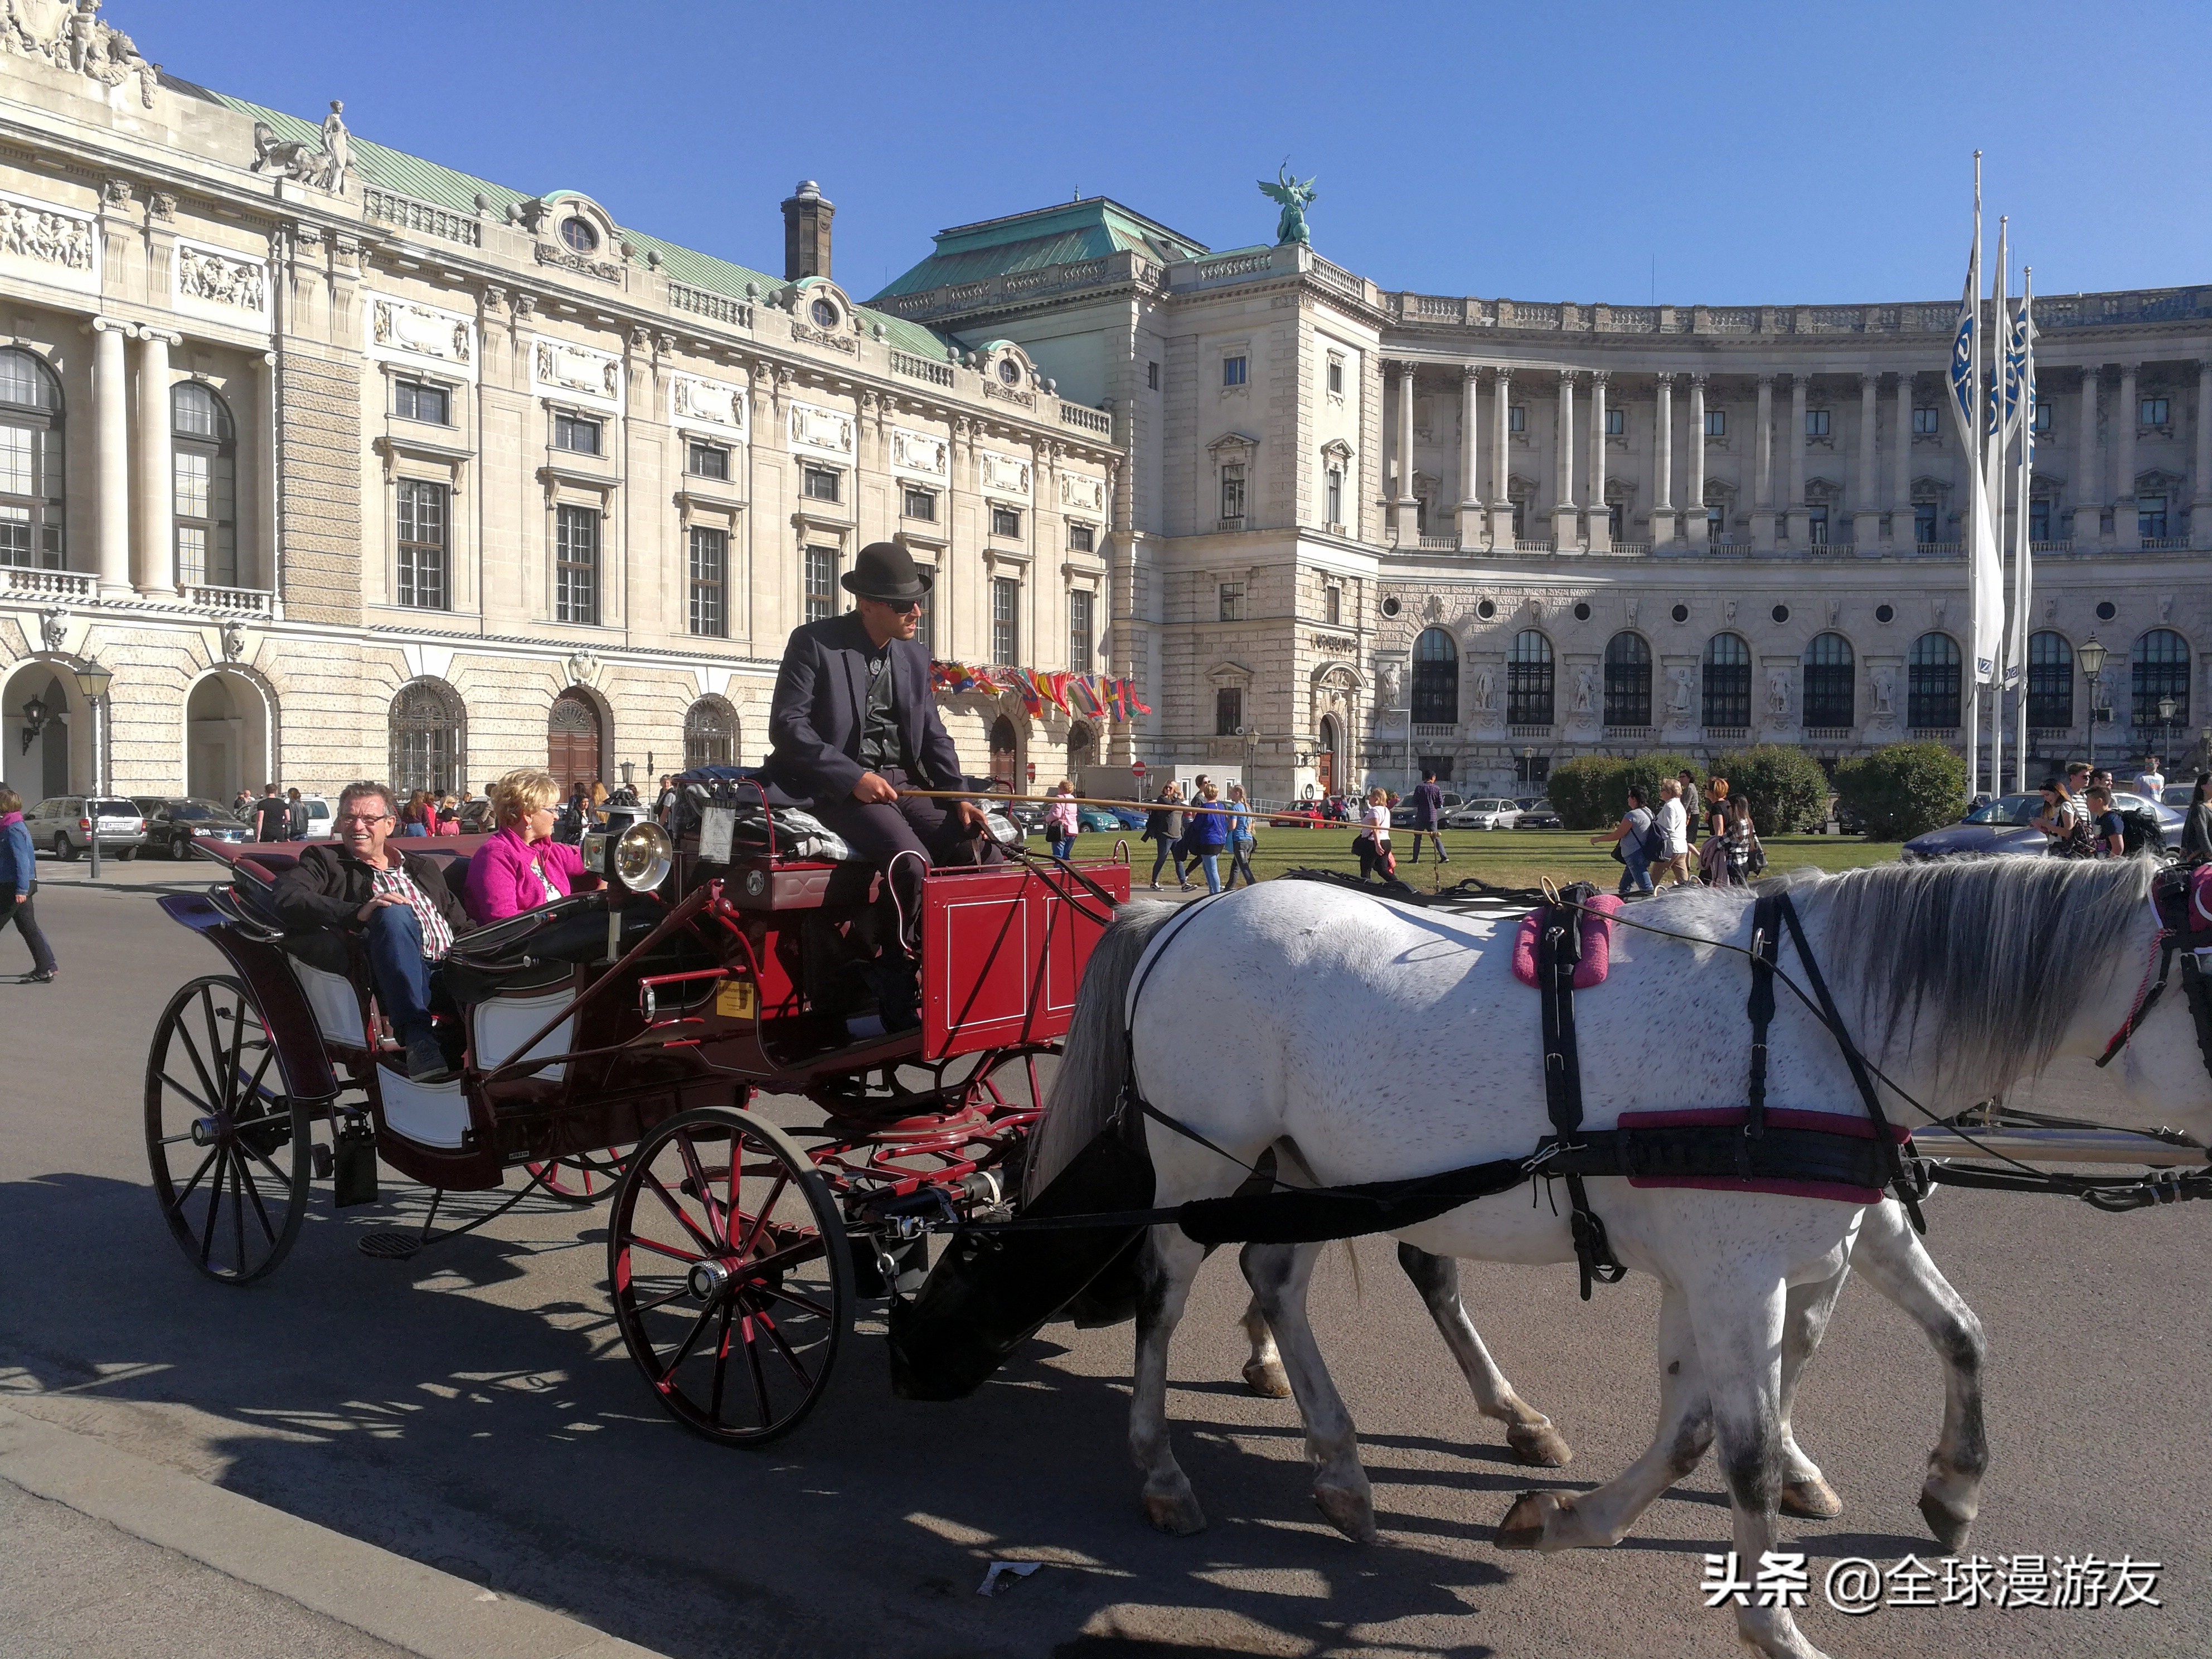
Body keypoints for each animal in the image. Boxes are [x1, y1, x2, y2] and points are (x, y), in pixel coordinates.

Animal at [1026, 858, 2203, 1659]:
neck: (1806, 1023)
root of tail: (1182, 912)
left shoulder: (1785, 1248)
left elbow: (1933, 1340)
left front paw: (1949, 1485)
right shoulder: (1734, 1273)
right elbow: (1739, 1450)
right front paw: (1773, 1622)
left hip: (1305, 1168)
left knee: (1274, 1283)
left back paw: (1344, 1467)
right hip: (1204, 1162)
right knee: (1163, 1291)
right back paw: (1164, 1468)